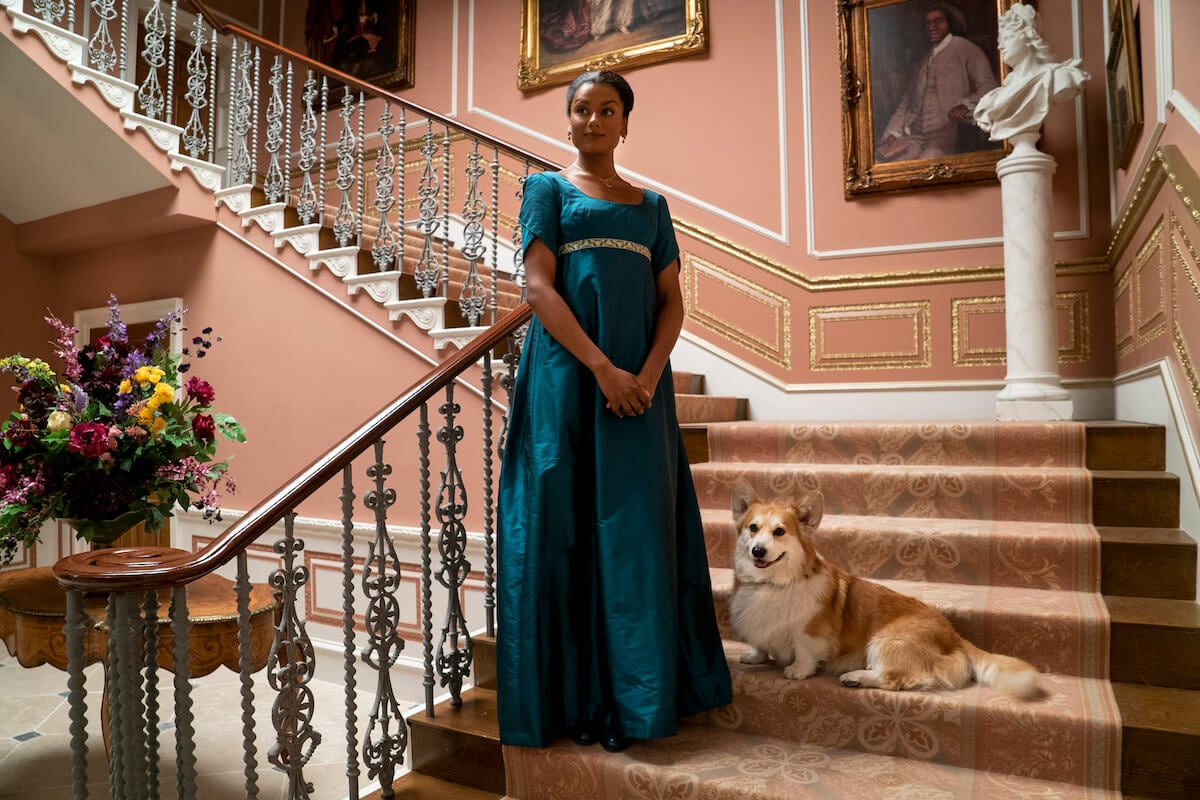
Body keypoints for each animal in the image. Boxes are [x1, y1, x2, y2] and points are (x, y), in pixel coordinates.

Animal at [724, 479, 1046, 695]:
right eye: (753, 528)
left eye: (779, 531)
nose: (758, 551)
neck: (771, 584)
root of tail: (954, 636)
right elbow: (761, 644)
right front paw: (755, 656)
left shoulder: (811, 633)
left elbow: (804, 651)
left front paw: (797, 671)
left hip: (886, 640)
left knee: (899, 677)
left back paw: (856, 677)